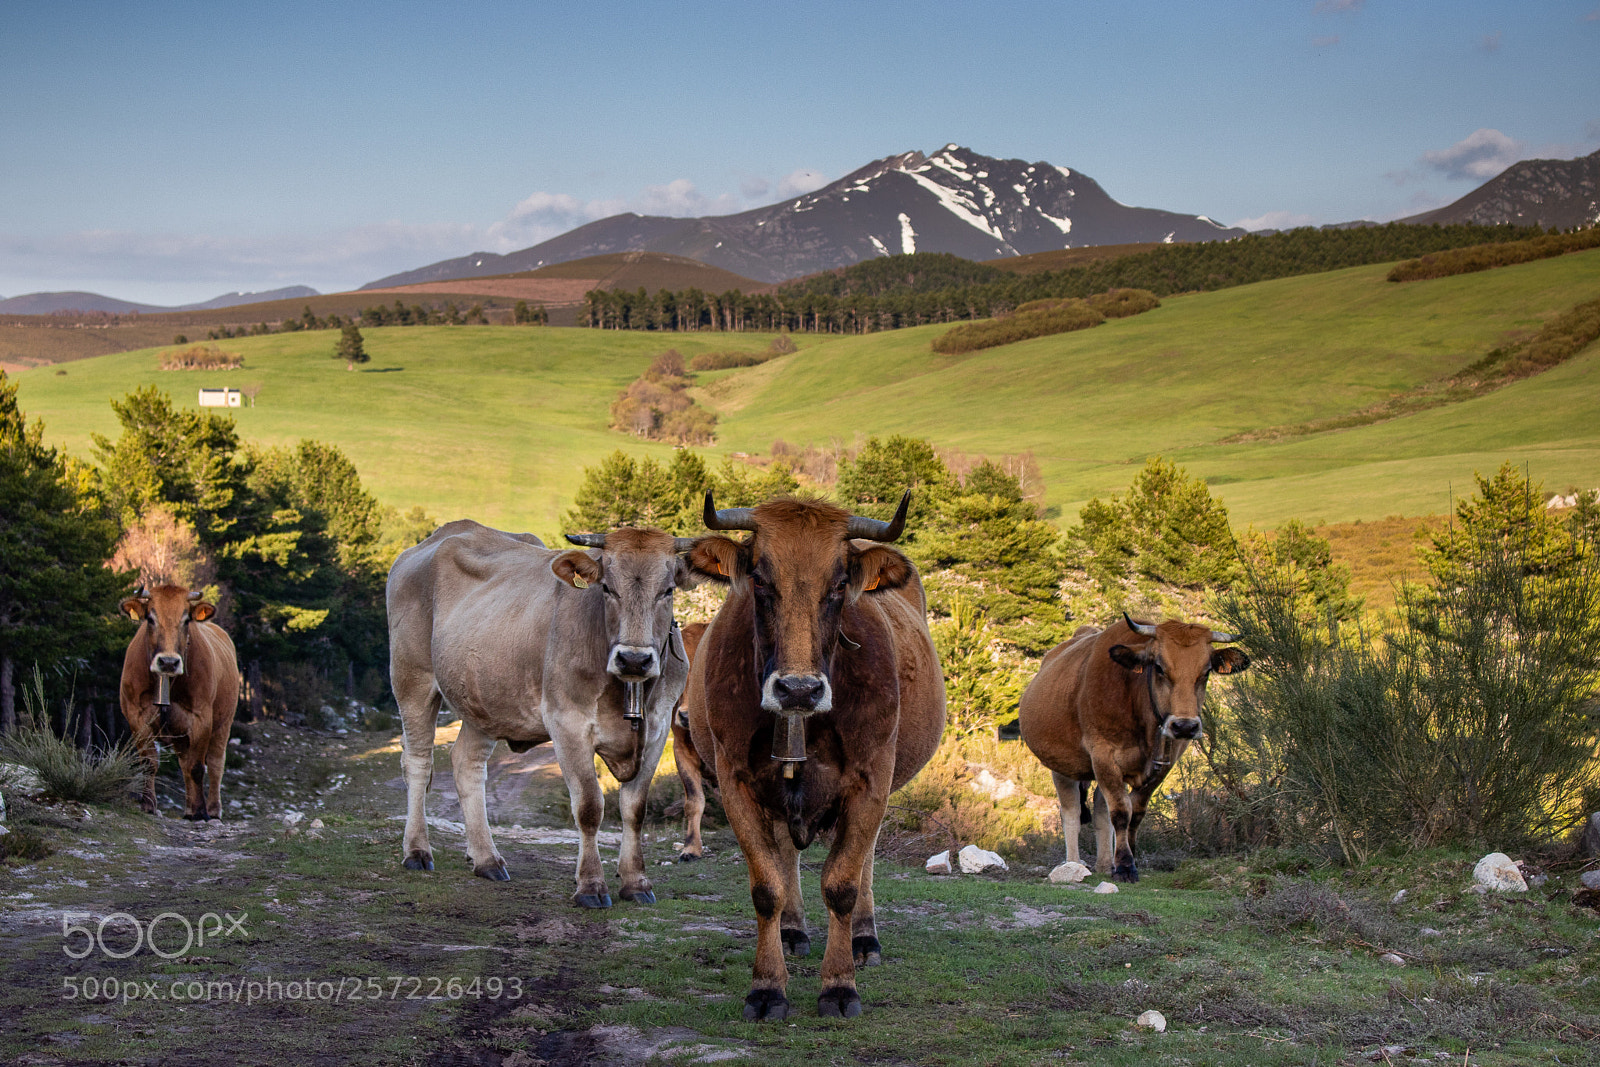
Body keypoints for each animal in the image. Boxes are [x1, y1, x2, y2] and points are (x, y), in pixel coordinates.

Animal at [118, 585, 240, 820]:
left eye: (186, 620)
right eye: (150, 618)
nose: (168, 662)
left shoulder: (202, 718)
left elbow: (197, 767)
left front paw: (200, 811)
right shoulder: (136, 717)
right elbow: (149, 763)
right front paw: (148, 805)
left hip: (224, 723)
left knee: (215, 763)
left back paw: (212, 809)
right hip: (181, 735)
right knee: (184, 763)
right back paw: (189, 807)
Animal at [386, 520, 693, 906]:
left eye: (667, 590)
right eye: (607, 587)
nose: (634, 659)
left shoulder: (657, 727)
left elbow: (634, 809)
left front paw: (636, 883)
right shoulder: (567, 722)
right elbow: (589, 807)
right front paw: (590, 886)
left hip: (483, 698)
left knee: (466, 763)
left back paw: (487, 859)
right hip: (412, 678)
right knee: (418, 761)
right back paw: (416, 851)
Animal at [682, 490, 946, 1021]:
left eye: (840, 584)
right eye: (759, 579)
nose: (799, 689)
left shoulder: (871, 779)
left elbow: (842, 882)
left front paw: (839, 985)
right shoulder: (735, 779)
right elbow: (767, 887)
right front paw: (767, 986)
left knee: (864, 860)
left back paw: (865, 939)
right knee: (785, 855)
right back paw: (792, 931)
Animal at [1017, 614, 1248, 882]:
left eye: (1206, 671)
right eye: (1159, 667)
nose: (1185, 726)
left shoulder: (1163, 765)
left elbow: (1134, 813)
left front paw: (1129, 858)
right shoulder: (1104, 756)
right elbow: (1120, 812)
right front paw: (1126, 866)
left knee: (1100, 812)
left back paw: (1105, 864)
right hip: (1062, 767)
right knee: (1071, 812)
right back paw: (1073, 863)